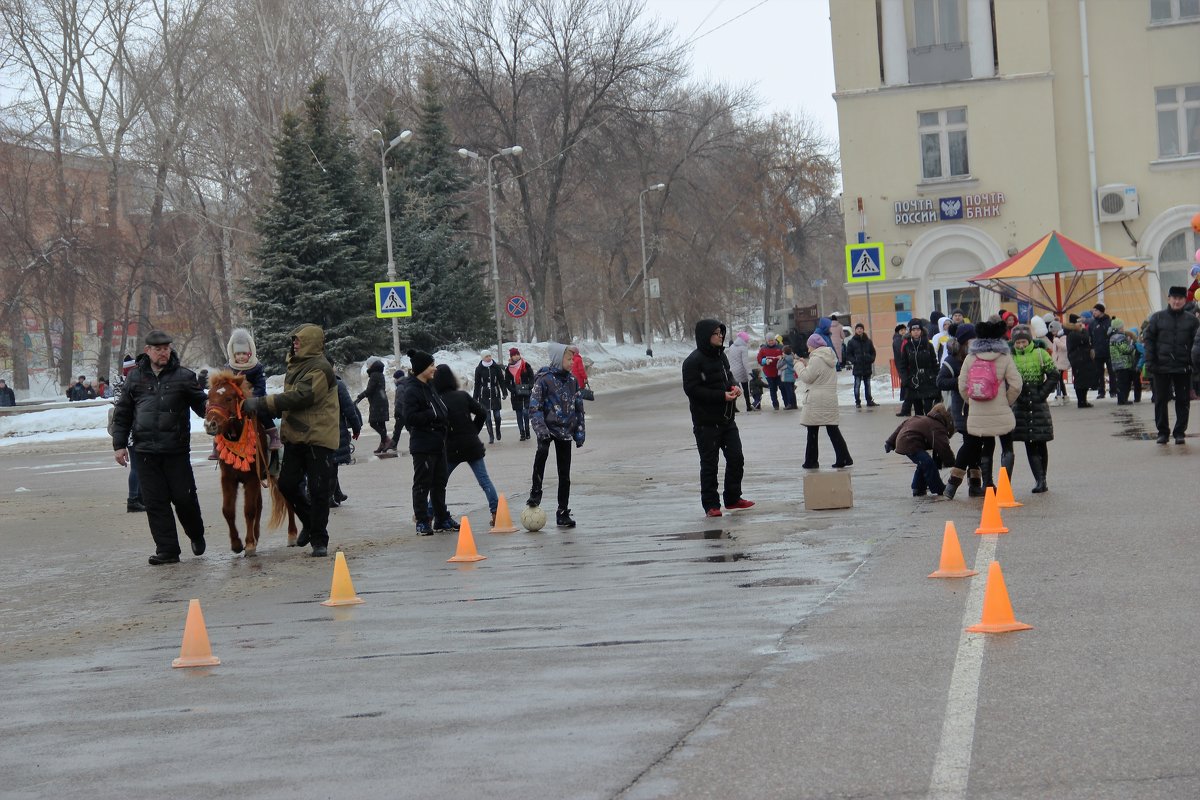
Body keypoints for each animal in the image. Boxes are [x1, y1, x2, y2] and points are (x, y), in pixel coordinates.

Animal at [201, 371, 295, 554]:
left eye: (229, 398)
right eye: (209, 397)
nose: (210, 424)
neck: (237, 436)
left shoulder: (251, 478)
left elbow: (249, 510)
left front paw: (249, 543)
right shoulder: (228, 478)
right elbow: (228, 510)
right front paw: (236, 543)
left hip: (279, 473)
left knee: (288, 501)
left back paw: (292, 535)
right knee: (260, 505)